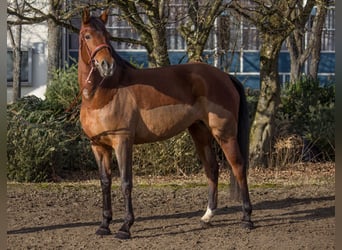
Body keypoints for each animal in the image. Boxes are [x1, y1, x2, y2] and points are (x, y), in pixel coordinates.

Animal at [78, 7, 254, 238]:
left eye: (107, 35)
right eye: (88, 36)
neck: (106, 92)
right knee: (212, 168)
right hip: (200, 132)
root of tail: (224, 76)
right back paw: (207, 217)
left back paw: (247, 218)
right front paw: (104, 225)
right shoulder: (98, 146)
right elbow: (105, 183)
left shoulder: (122, 142)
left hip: (224, 133)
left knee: (238, 167)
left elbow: (125, 182)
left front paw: (125, 227)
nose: (107, 65)